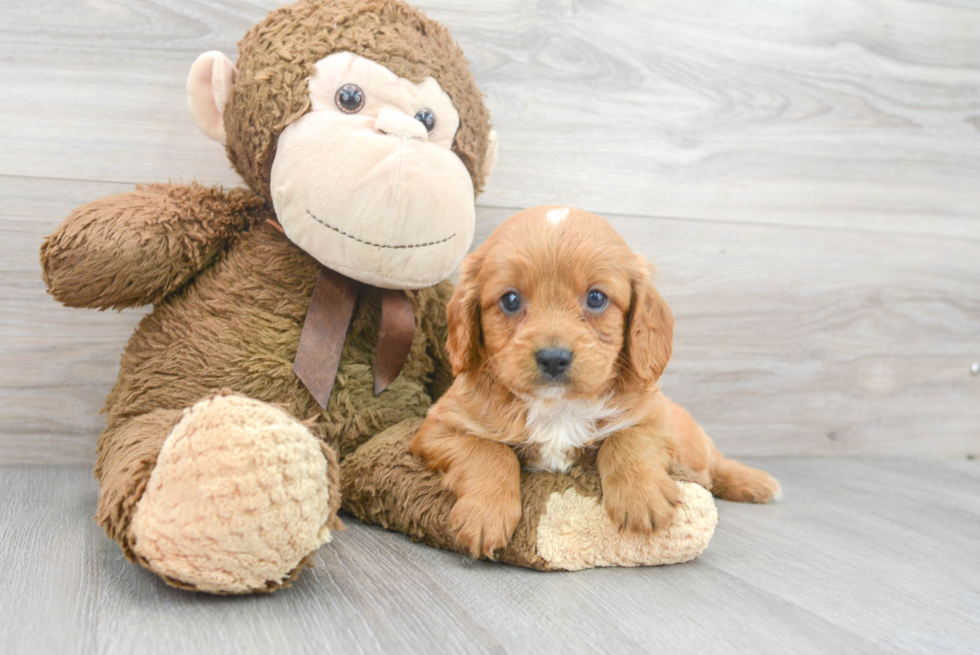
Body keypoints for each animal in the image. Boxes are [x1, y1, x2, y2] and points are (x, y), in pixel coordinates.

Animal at [408, 208, 780, 556]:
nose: (553, 358)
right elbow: (488, 451)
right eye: (510, 300)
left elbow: (626, 439)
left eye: (597, 298)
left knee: (718, 464)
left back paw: (756, 483)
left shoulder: (656, 421)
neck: (558, 406)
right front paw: (485, 513)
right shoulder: (438, 427)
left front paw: (641, 498)